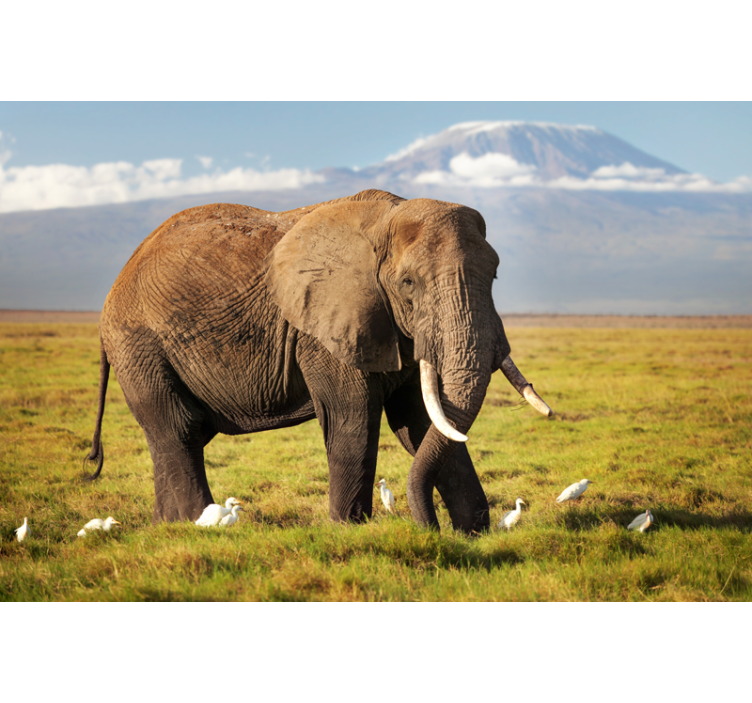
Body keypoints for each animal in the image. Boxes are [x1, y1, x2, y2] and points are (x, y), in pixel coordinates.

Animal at [84, 189, 552, 533]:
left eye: (494, 275)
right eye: (408, 283)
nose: (429, 528)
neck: (386, 221)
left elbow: (424, 421)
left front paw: (472, 534)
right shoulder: (325, 329)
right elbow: (354, 417)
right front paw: (350, 532)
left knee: (181, 435)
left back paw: (165, 527)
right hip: (140, 346)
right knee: (177, 429)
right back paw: (192, 525)